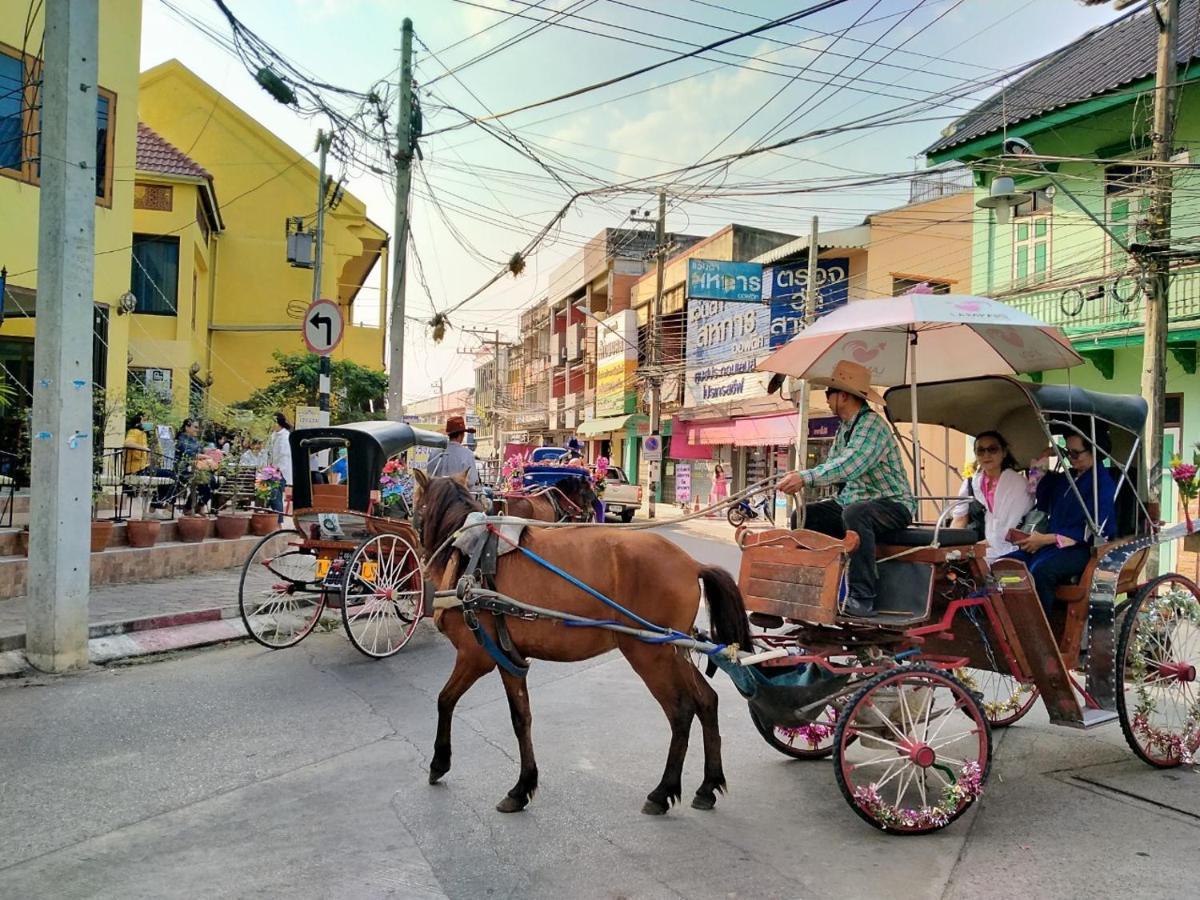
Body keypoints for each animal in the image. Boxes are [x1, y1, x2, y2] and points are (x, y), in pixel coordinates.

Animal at [412, 472, 748, 816]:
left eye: (415, 504)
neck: (472, 556)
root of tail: (692, 564)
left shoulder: (475, 656)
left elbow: (444, 700)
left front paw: (439, 762)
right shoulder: (509, 659)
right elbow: (521, 719)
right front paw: (523, 787)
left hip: (649, 653)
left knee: (681, 712)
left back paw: (662, 791)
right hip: (674, 651)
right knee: (706, 701)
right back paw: (708, 785)